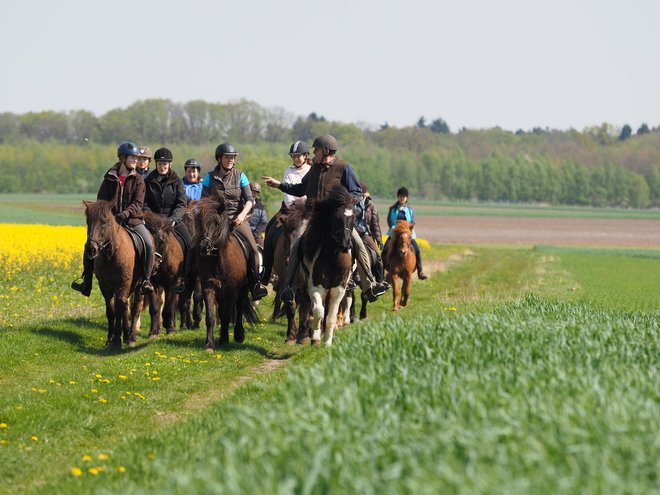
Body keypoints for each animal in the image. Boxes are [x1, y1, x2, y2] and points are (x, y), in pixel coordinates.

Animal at [82, 200, 146, 350]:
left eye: (104, 222)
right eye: (88, 221)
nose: (91, 249)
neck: (110, 253)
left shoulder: (123, 282)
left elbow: (119, 308)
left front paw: (117, 340)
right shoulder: (105, 285)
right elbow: (111, 309)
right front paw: (110, 340)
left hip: (139, 286)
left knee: (135, 309)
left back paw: (131, 338)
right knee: (126, 306)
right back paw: (127, 335)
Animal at [142, 211, 186, 340]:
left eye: (162, 242)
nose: (153, 266)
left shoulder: (172, 283)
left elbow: (168, 308)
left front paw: (169, 327)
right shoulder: (152, 284)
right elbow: (154, 308)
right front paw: (153, 332)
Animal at [192, 190, 260, 352]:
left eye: (217, 223)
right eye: (200, 223)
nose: (204, 248)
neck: (219, 259)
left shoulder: (231, 289)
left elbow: (226, 316)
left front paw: (224, 340)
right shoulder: (209, 287)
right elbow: (211, 317)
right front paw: (209, 344)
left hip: (243, 288)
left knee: (240, 306)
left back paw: (238, 335)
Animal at [296, 185, 356, 344]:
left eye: (353, 217)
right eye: (336, 217)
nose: (345, 245)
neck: (332, 257)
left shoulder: (339, 288)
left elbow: (330, 317)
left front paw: (328, 343)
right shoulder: (315, 286)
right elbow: (318, 311)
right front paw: (314, 328)